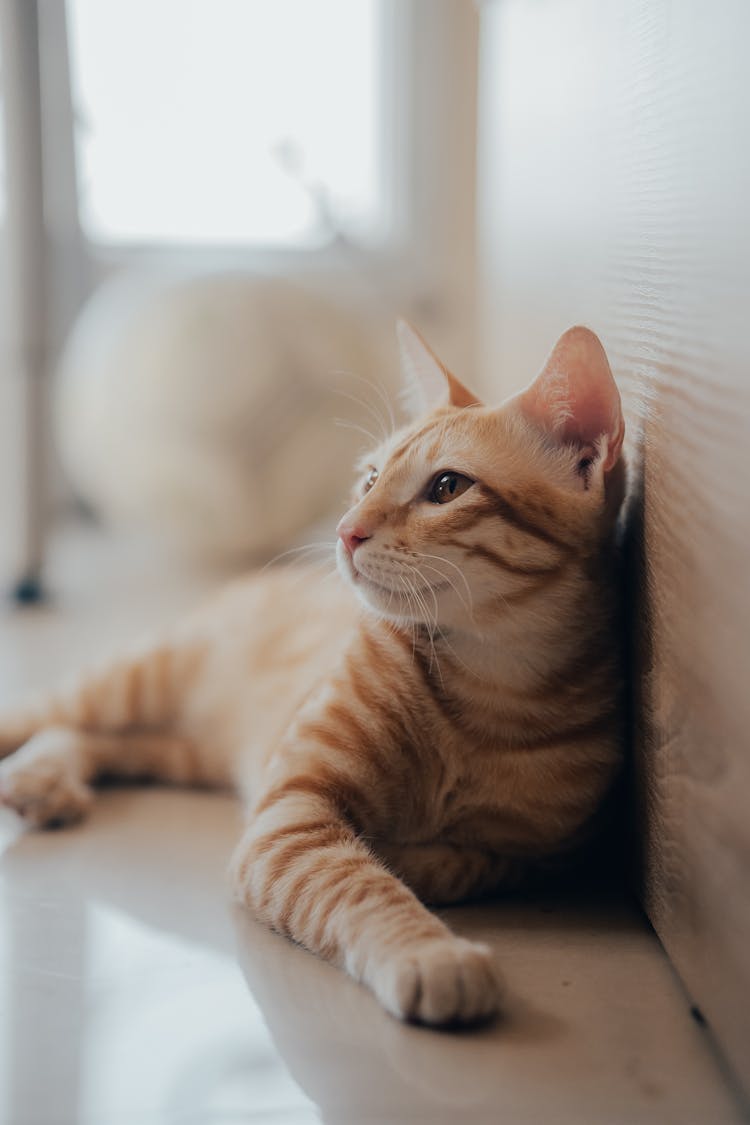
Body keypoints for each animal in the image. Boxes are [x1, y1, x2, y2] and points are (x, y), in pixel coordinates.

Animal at [0, 321, 625, 1026]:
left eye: (446, 488)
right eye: (370, 478)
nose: (346, 530)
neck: (490, 687)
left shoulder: (552, 855)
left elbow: (468, 864)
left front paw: (412, 859)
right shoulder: (290, 813)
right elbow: (360, 885)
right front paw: (430, 952)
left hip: (184, 749)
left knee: (92, 738)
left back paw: (44, 782)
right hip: (138, 680)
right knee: (44, 713)